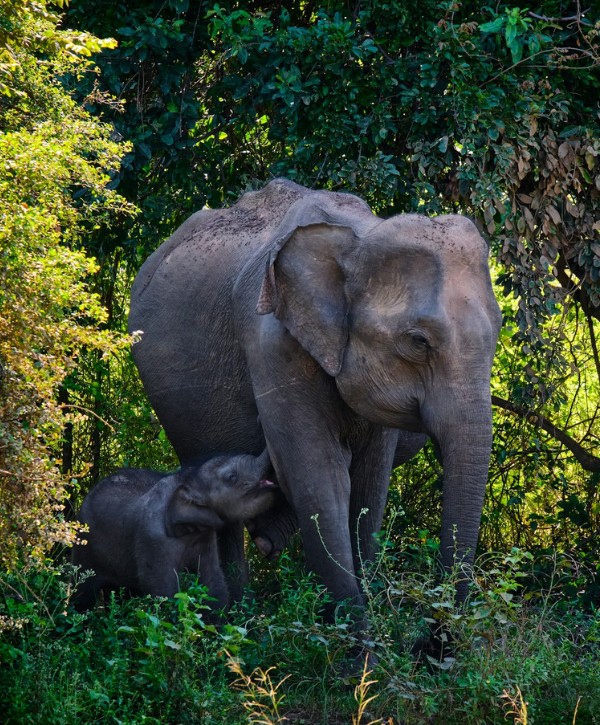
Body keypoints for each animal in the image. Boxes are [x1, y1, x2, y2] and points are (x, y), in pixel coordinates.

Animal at [72, 446, 276, 612]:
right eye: (232, 477)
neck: (186, 481)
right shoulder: (152, 539)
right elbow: (163, 589)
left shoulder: (205, 536)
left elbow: (213, 581)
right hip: (85, 545)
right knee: (82, 593)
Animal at [130, 178, 502, 608]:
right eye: (418, 341)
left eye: (498, 331)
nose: (444, 622)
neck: (359, 236)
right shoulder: (273, 343)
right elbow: (320, 476)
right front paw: (354, 623)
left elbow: (369, 484)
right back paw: (236, 606)